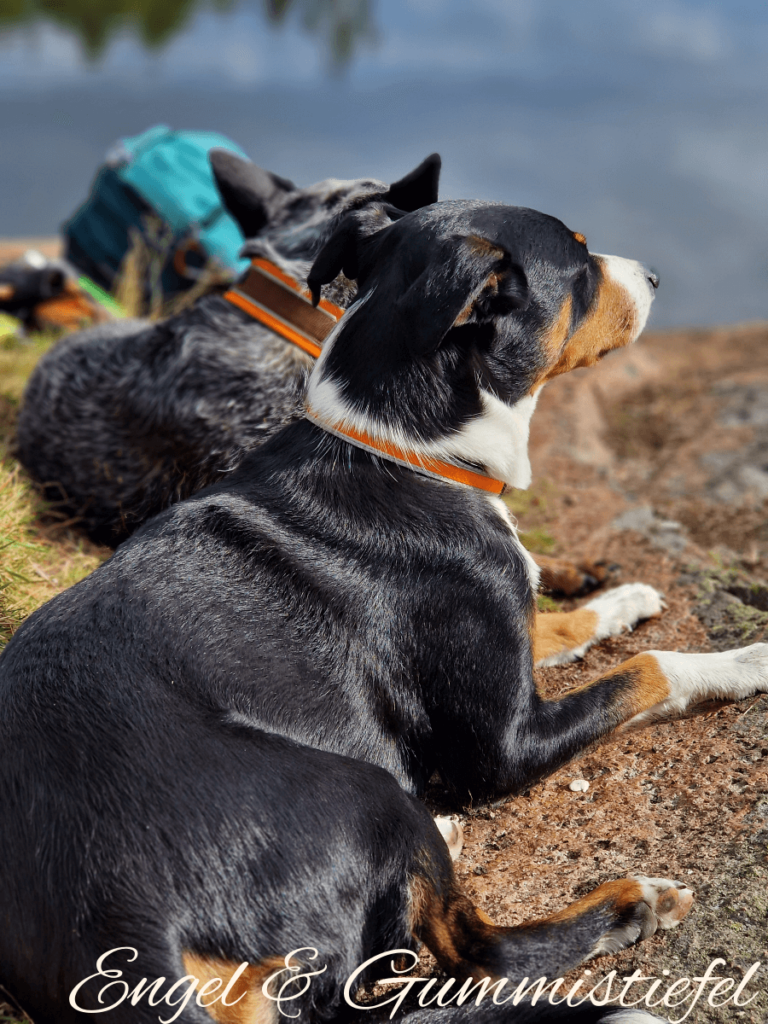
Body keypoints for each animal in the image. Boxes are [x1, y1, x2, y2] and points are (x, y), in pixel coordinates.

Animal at [6, 197, 768, 1024]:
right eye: (580, 263)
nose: (655, 276)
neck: (408, 451)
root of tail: (120, 923)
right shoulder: (504, 747)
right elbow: (649, 670)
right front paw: (745, 659)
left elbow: (560, 620)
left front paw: (622, 596)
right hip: (365, 794)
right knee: (479, 954)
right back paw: (629, 907)